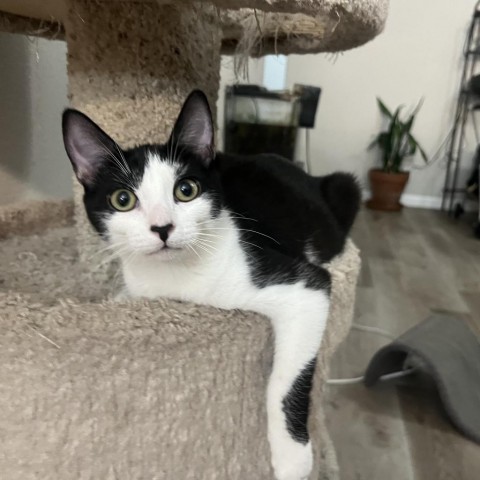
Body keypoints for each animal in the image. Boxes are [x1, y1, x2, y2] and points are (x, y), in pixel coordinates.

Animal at [62, 91, 358, 480]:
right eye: (122, 200)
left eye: (186, 190)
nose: (162, 227)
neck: (176, 277)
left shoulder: (303, 285)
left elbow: (287, 377)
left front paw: (292, 458)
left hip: (344, 190)